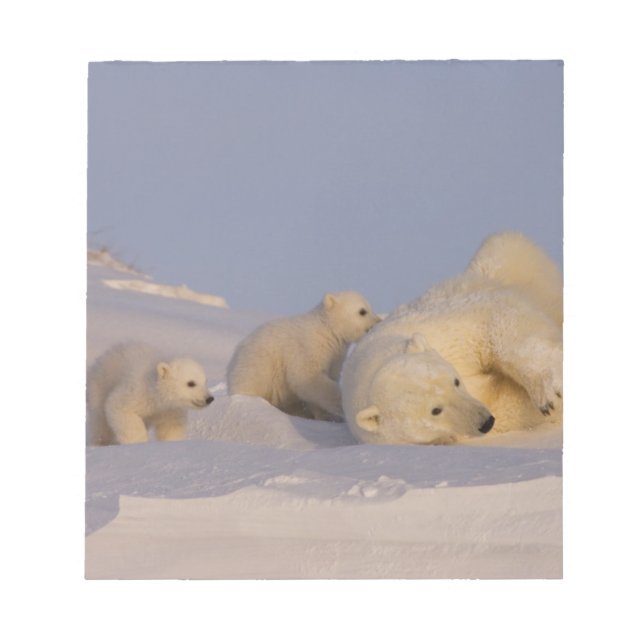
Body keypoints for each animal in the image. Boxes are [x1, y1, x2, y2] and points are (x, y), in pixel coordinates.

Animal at [226, 291, 380, 420]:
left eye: (370, 308)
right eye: (362, 311)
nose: (378, 321)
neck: (327, 331)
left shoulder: (336, 357)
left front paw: (324, 415)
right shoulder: (308, 347)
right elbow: (307, 377)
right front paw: (340, 405)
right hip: (256, 370)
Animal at [340, 232, 563, 445]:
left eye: (455, 381)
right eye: (435, 410)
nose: (485, 421)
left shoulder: (440, 329)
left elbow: (494, 320)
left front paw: (550, 394)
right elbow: (511, 406)